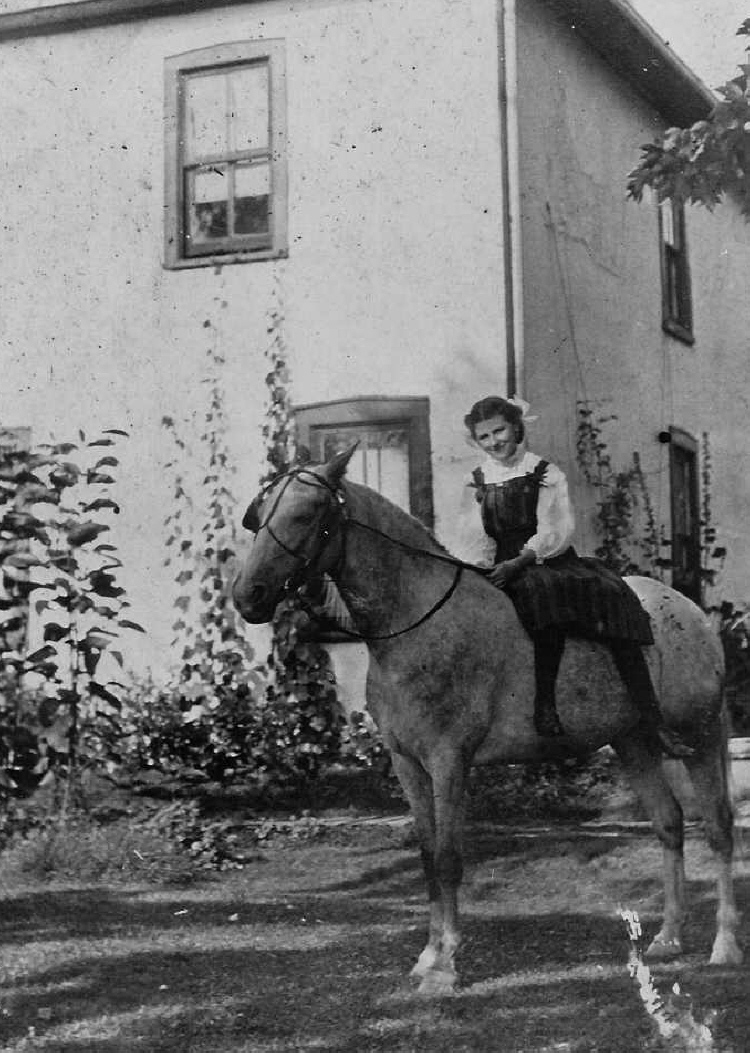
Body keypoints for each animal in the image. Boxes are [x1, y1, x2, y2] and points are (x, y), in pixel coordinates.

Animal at [232, 446, 743, 994]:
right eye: (260, 516)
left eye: (307, 513)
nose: (247, 595)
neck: (416, 619)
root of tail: (693, 614)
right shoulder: (407, 764)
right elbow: (428, 856)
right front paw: (428, 955)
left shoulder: (449, 760)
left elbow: (449, 858)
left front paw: (445, 966)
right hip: (634, 743)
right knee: (669, 824)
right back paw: (669, 938)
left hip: (700, 736)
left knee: (718, 829)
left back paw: (724, 946)